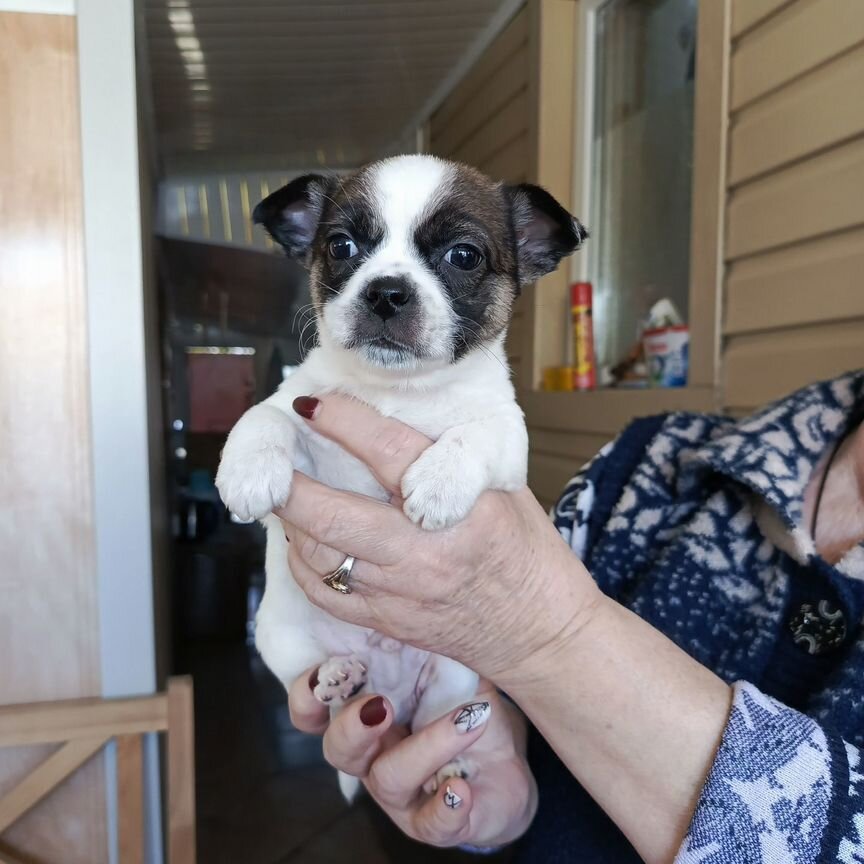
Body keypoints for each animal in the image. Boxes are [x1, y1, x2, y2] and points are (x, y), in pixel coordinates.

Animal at [216, 152, 588, 800]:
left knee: (430, 719)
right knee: (327, 694)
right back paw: (338, 678)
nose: (387, 291)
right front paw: (248, 468)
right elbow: (266, 414)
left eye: (463, 256)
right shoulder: (302, 408)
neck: (400, 394)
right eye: (340, 246)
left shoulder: (507, 438)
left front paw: (438, 484)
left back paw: (440, 765)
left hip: (453, 678)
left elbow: (474, 435)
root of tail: (382, 684)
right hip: (280, 640)